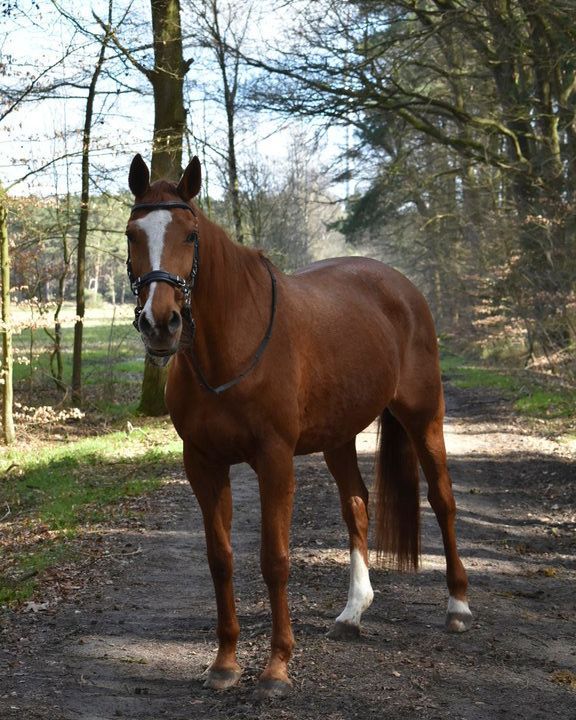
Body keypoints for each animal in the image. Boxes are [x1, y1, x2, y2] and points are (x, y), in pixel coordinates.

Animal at [125, 154, 472, 698]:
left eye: (189, 235)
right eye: (132, 234)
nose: (160, 323)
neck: (230, 350)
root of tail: (401, 287)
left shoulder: (274, 461)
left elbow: (275, 560)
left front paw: (276, 668)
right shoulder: (203, 464)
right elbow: (220, 559)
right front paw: (224, 664)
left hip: (424, 417)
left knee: (442, 500)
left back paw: (457, 606)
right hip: (339, 437)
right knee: (357, 506)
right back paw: (352, 613)